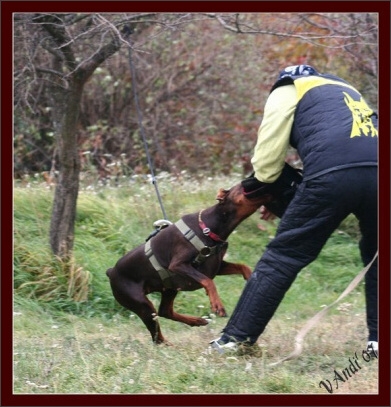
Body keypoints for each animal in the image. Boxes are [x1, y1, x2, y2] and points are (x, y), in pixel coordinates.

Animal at [105, 183, 274, 346]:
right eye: (243, 185)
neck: (208, 227)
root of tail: (111, 272)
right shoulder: (178, 265)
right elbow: (208, 281)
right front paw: (217, 305)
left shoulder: (216, 266)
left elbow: (243, 266)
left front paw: (252, 278)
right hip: (142, 304)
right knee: (157, 335)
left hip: (169, 287)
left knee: (165, 311)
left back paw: (196, 321)